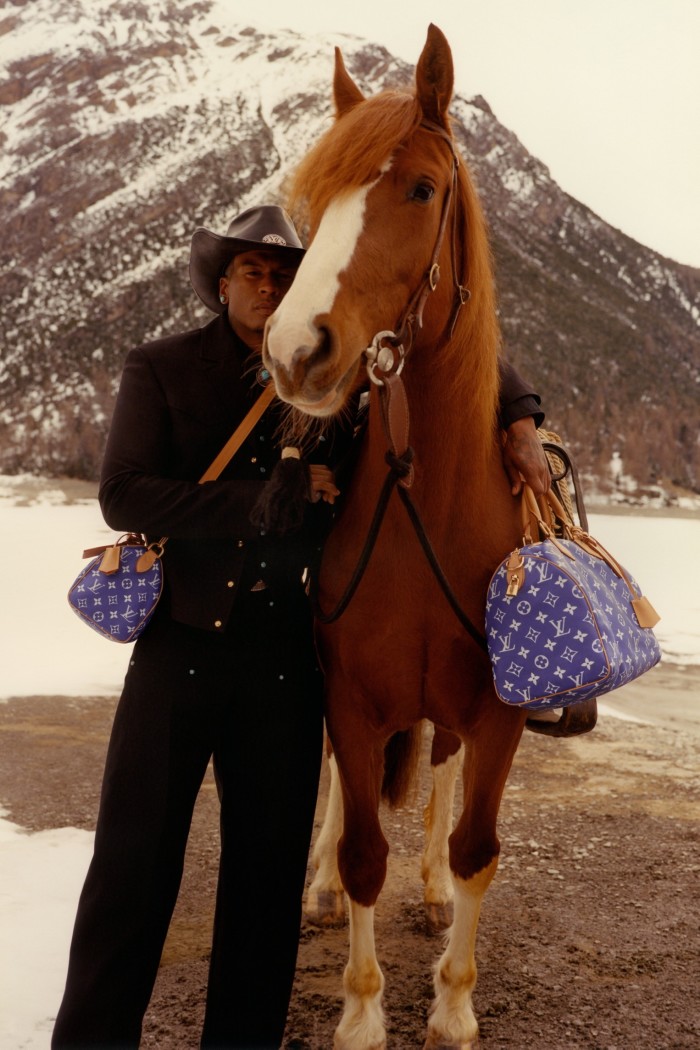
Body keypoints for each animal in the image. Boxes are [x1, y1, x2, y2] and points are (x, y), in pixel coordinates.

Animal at [265, 24, 528, 1050]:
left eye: (419, 189)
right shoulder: (350, 697)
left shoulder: (497, 713)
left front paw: (453, 1002)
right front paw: (361, 1011)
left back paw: (429, 892)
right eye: (315, 201)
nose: (293, 349)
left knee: (443, 783)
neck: (432, 502)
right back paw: (321, 889)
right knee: (350, 805)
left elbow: (476, 847)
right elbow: (365, 845)